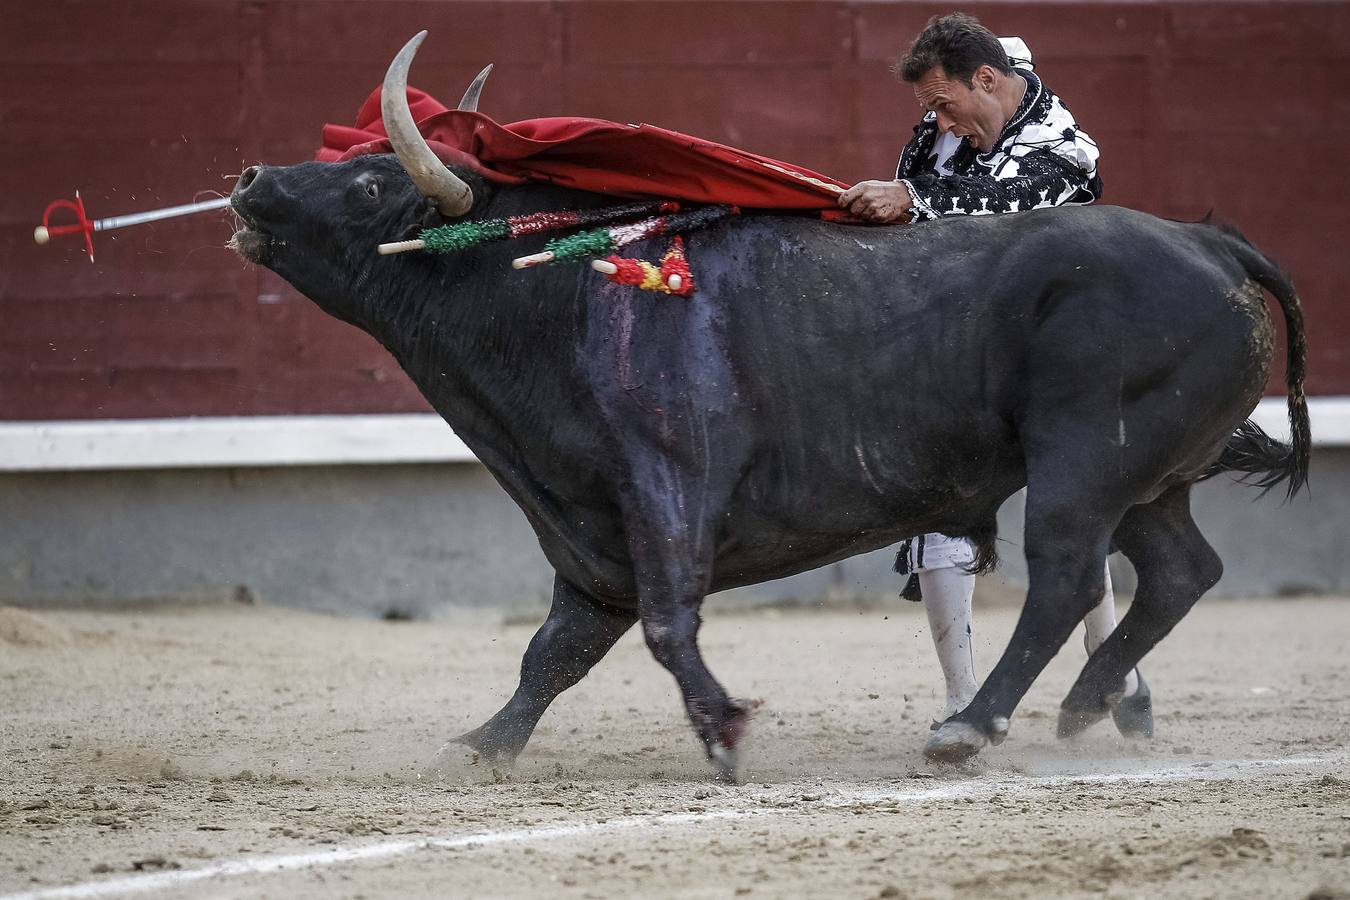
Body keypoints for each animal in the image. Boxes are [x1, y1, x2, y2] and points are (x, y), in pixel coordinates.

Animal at [229, 155, 1306, 777]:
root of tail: (1210, 240)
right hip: (1147, 476)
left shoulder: (666, 488)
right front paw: (481, 746)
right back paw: (1089, 705)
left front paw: (723, 731)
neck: (561, 293)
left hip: (1082, 461)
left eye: (369, 186)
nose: (249, 183)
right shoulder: (592, 533)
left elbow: (664, 627)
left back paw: (972, 726)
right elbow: (556, 649)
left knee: (1070, 577)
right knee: (1180, 570)